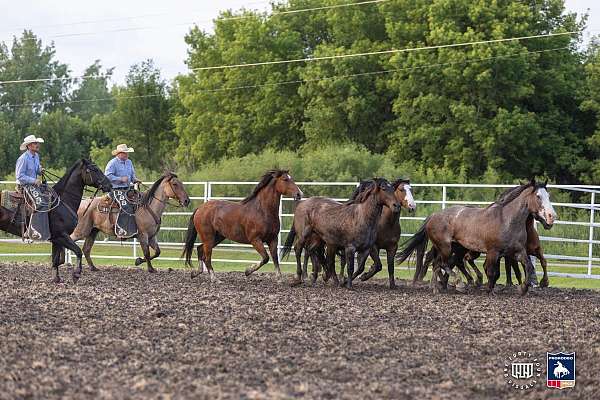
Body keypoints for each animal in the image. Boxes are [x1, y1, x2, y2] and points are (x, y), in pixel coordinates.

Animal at [398, 180, 556, 296]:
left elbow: (529, 266)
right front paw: (489, 289)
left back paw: (437, 287)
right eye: (538, 196)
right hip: (446, 247)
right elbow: (492, 272)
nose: (552, 217)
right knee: (442, 263)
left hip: (453, 248)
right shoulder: (493, 252)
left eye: (548, 196)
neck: (507, 220)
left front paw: (524, 288)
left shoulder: (517, 252)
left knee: (439, 263)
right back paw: (457, 284)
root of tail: (433, 215)